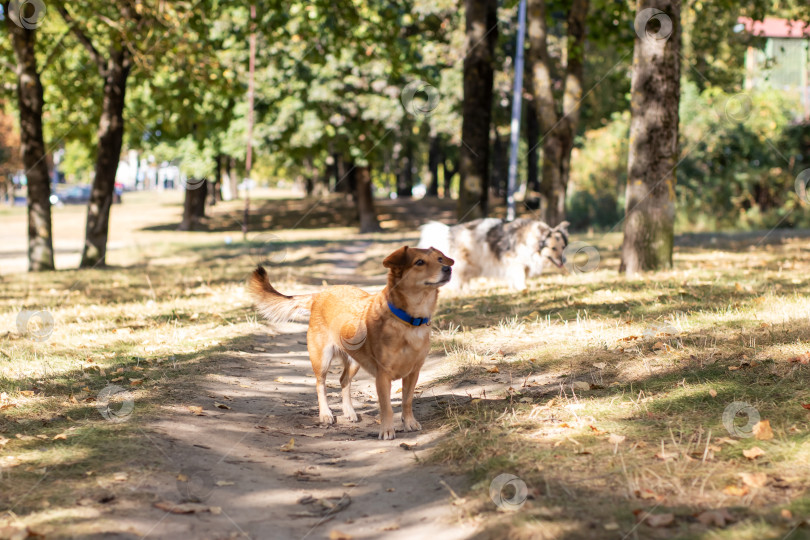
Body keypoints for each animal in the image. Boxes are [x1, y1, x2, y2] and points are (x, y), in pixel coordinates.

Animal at [249, 247, 452, 440]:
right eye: (419, 262)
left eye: (440, 259)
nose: (448, 269)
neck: (408, 321)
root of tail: (320, 294)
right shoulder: (383, 376)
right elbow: (386, 406)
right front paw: (387, 430)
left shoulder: (413, 372)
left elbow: (407, 400)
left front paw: (409, 422)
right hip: (322, 359)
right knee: (320, 384)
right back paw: (325, 414)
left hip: (355, 361)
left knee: (343, 380)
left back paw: (349, 411)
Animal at [416, 217, 568, 292]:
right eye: (553, 248)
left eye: (563, 247)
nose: (564, 261)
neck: (533, 239)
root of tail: (450, 231)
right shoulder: (514, 261)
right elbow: (519, 275)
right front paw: (522, 288)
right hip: (465, 262)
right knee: (459, 276)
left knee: (465, 277)